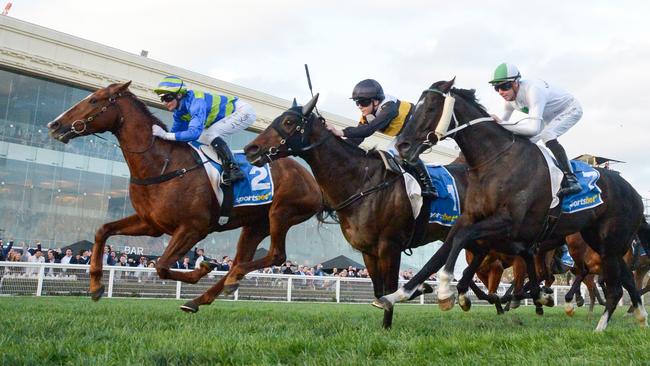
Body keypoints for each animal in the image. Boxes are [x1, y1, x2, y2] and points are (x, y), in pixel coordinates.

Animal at [45, 83, 322, 312]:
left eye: (94, 100)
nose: (54, 125)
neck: (163, 164)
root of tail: (311, 179)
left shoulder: (194, 228)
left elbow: (161, 266)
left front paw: (203, 267)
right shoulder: (151, 223)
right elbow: (103, 230)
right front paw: (95, 287)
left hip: (281, 214)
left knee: (275, 256)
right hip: (255, 225)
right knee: (239, 262)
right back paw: (201, 299)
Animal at [380, 78, 648, 330]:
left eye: (430, 107)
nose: (402, 145)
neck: (496, 161)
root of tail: (636, 194)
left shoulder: (508, 222)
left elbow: (461, 239)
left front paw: (446, 289)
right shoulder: (471, 218)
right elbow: (441, 252)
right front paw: (397, 294)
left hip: (609, 243)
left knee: (614, 288)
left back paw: (600, 326)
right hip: (602, 242)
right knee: (626, 280)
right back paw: (639, 316)